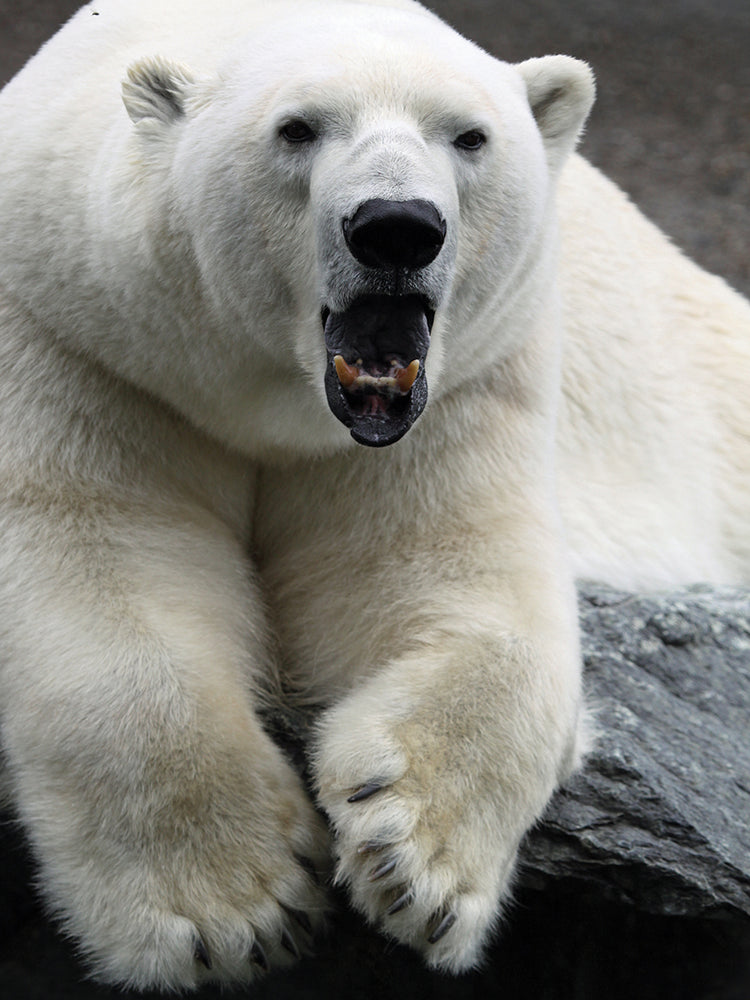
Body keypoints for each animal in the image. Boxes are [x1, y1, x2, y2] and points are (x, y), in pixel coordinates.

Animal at [0, 0, 748, 990]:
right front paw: (235, 912)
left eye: (468, 136)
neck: (280, 404)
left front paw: (414, 860)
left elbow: (453, 578)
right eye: (297, 128)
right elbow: (97, 553)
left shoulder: (473, 380)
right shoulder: (78, 334)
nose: (397, 227)